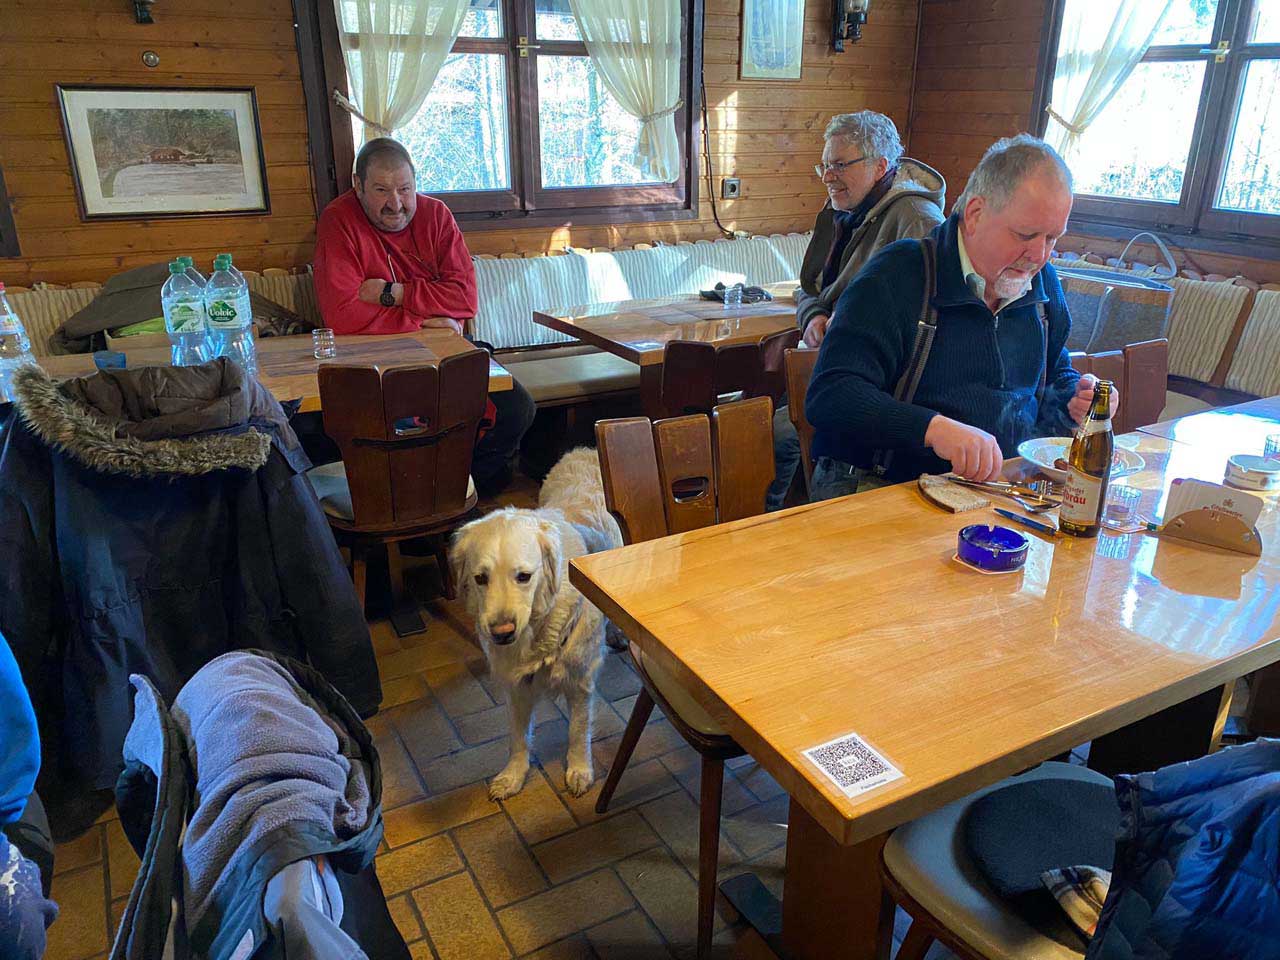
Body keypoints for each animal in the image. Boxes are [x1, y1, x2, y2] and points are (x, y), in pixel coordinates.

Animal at [450, 449, 623, 799]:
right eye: (480, 578)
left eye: (524, 576)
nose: (502, 633)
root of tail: (586, 449)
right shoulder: (516, 685)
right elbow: (517, 738)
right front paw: (512, 776)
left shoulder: (580, 680)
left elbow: (578, 731)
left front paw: (579, 771)